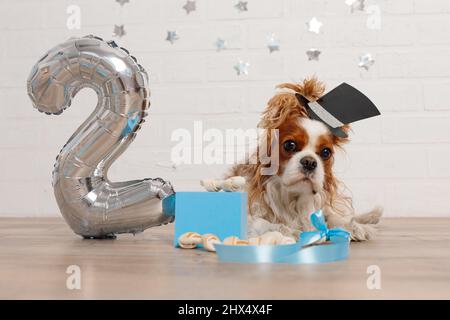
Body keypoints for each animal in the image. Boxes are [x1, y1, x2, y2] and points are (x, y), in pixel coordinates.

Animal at [227, 77, 382, 241]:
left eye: (326, 152)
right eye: (289, 145)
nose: (310, 162)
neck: (293, 198)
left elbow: (333, 217)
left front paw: (354, 227)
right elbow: (264, 223)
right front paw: (291, 232)